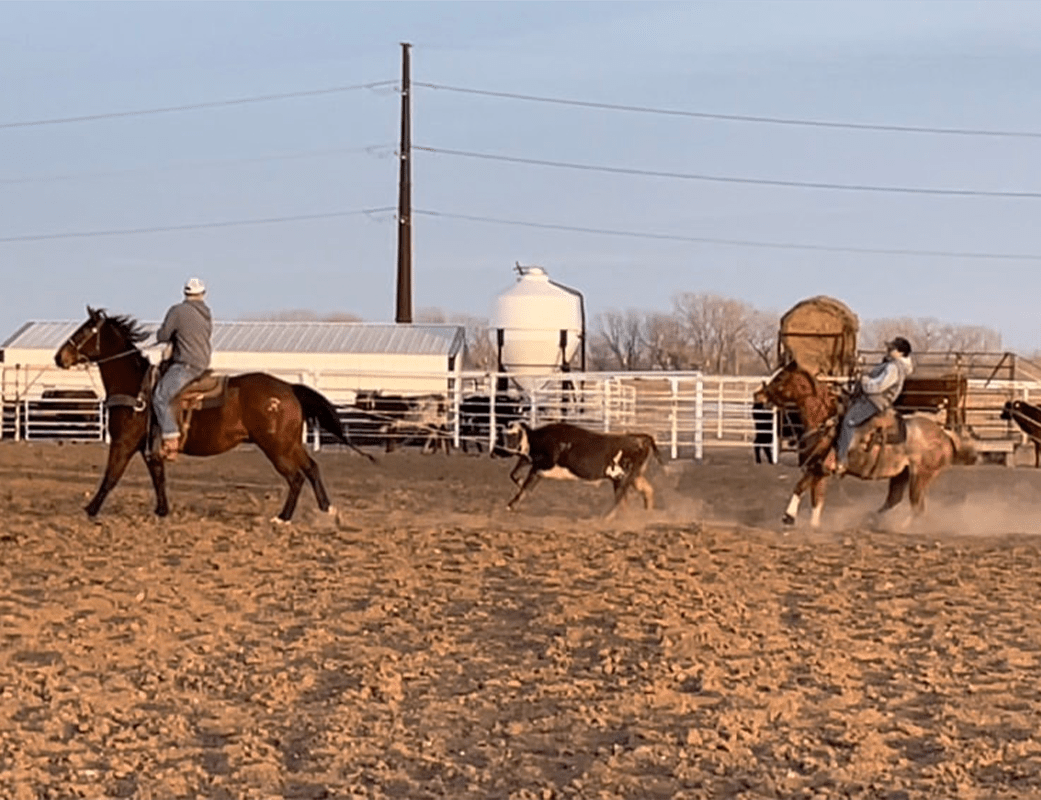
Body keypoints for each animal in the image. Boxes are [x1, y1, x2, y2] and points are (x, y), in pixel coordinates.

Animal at [55, 308, 374, 525]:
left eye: (84, 331)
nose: (59, 357)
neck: (136, 387)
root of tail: (288, 388)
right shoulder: (148, 449)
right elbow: (158, 478)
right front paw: (162, 511)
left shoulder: (123, 443)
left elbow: (111, 476)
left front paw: (90, 510)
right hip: (289, 443)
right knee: (312, 468)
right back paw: (327, 510)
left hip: (276, 447)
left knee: (296, 477)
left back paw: (283, 517)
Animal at [499, 418, 662, 518]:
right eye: (503, 434)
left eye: (512, 436)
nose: (498, 451)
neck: (536, 439)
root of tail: (639, 439)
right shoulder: (534, 465)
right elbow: (516, 476)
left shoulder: (541, 466)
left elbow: (525, 487)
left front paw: (511, 505)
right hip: (633, 476)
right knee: (646, 491)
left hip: (621, 478)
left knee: (620, 499)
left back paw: (606, 518)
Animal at [757, 364, 974, 529]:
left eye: (780, 378)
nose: (759, 395)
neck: (824, 419)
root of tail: (945, 435)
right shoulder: (820, 471)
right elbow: (816, 498)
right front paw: (813, 525)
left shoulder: (819, 467)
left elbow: (800, 487)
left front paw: (788, 517)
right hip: (901, 475)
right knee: (894, 500)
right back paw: (870, 519)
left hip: (920, 476)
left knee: (917, 508)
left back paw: (899, 527)